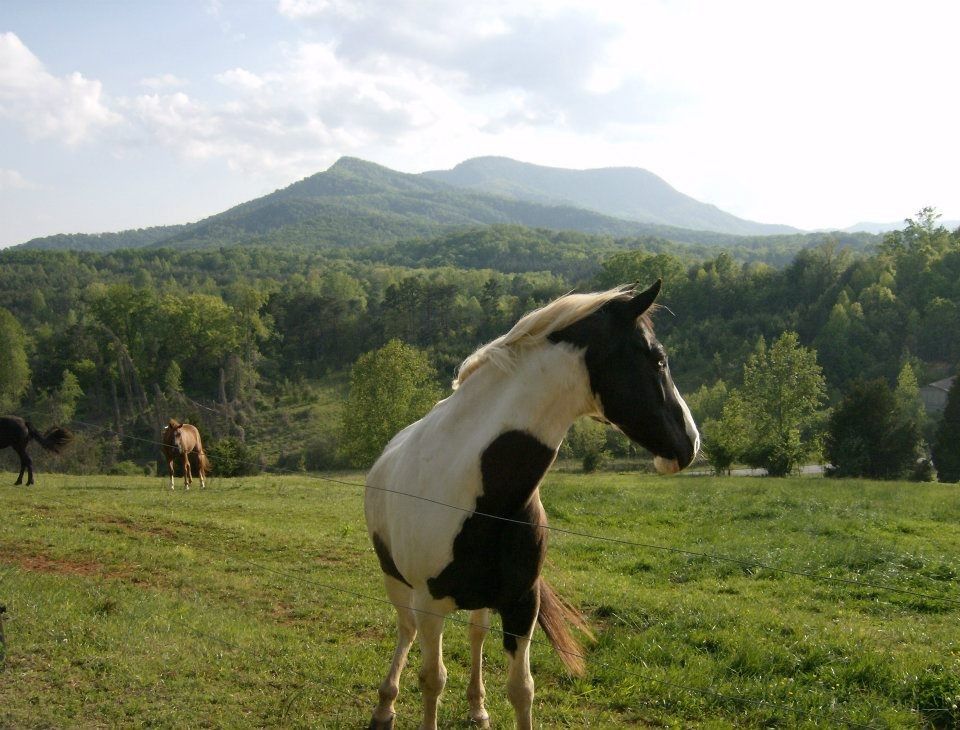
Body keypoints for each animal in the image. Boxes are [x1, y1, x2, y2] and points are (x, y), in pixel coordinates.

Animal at [366, 280, 696, 728]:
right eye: (658, 359)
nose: (691, 442)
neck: (481, 493)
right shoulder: (430, 604)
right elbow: (433, 679)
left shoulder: (522, 604)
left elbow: (521, 689)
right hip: (397, 582)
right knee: (406, 631)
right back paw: (385, 705)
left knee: (475, 633)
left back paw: (477, 707)